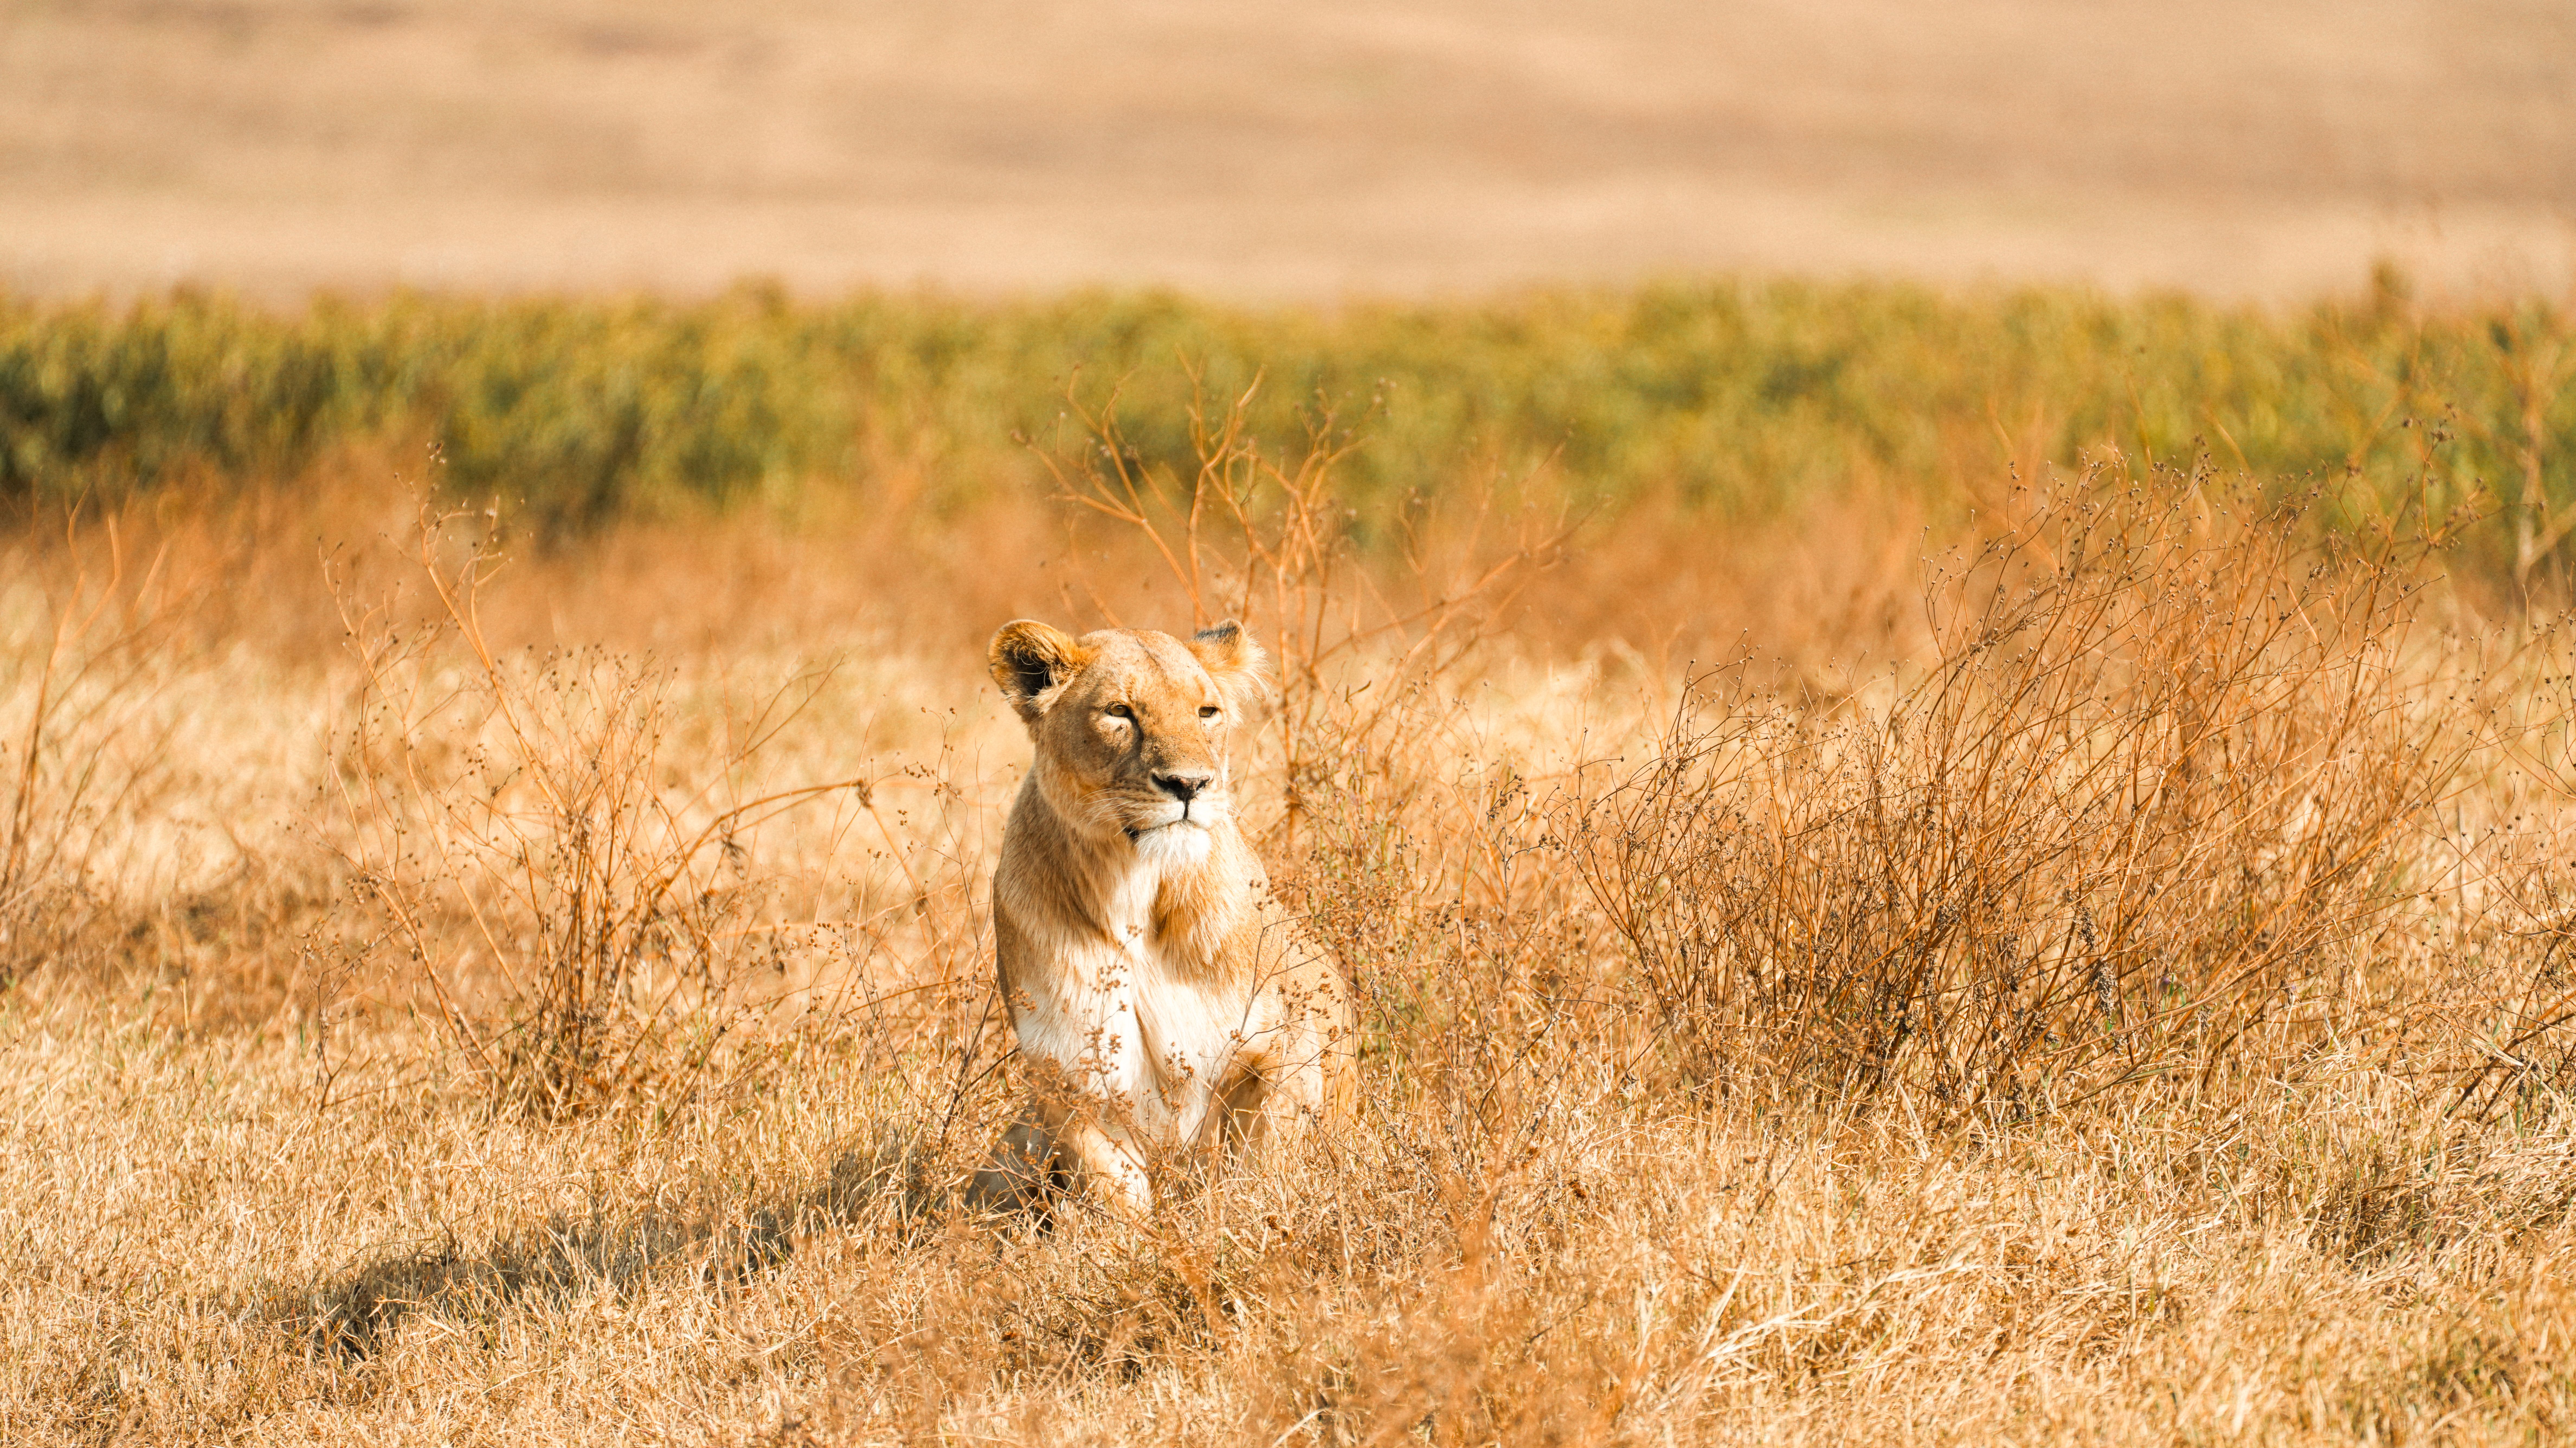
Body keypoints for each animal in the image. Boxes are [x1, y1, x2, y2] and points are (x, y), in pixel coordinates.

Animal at [965, 618, 1356, 1215]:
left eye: (1206, 711)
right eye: (1120, 712)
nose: (1189, 784)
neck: (1136, 889)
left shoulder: (1285, 1043)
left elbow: (1262, 1165)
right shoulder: (1072, 1072)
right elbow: (1116, 1193)